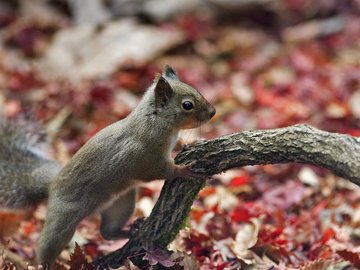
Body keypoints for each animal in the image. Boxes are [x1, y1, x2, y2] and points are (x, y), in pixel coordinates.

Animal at [0, 65, 215, 268]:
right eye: (187, 105)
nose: (213, 112)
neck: (155, 121)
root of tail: (52, 184)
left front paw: (191, 143)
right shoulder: (145, 157)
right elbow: (157, 171)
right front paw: (184, 170)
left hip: (121, 204)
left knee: (107, 232)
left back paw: (131, 230)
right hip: (63, 217)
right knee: (48, 242)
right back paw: (41, 264)